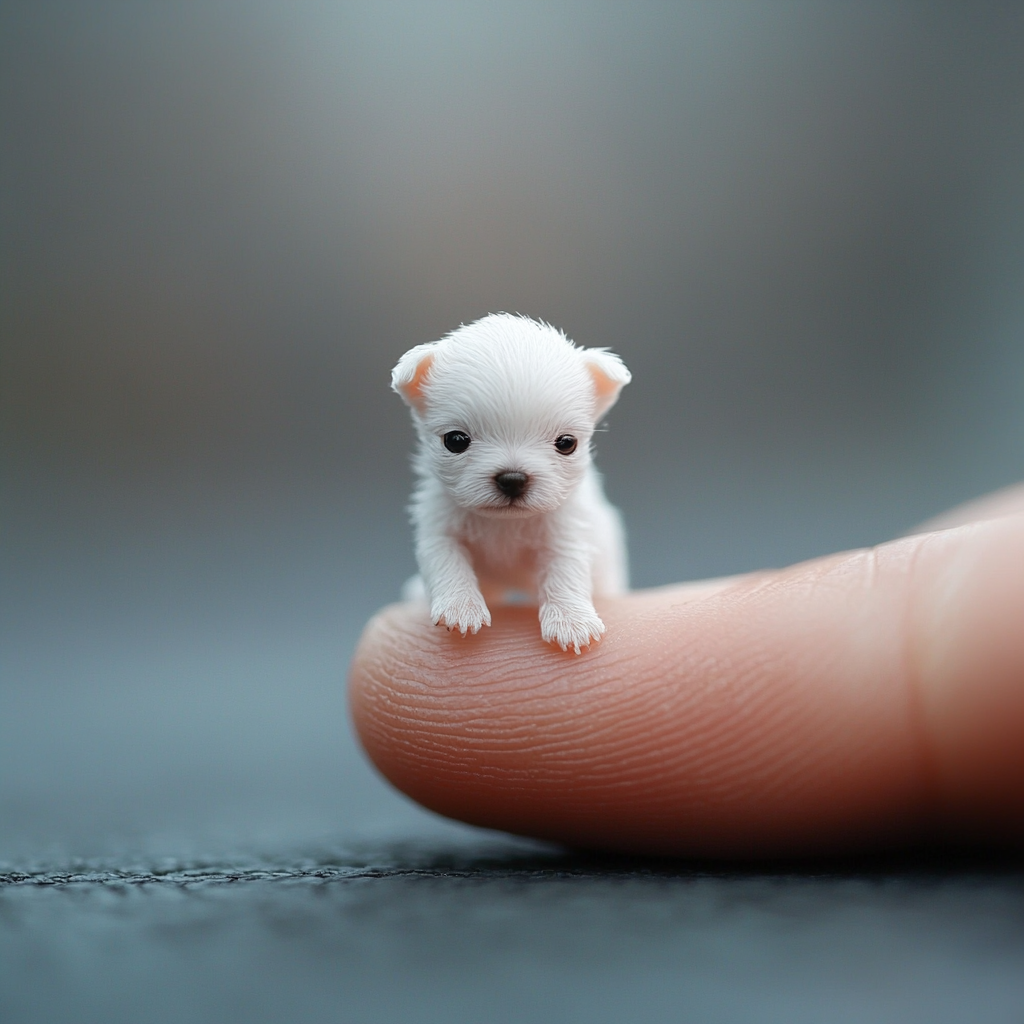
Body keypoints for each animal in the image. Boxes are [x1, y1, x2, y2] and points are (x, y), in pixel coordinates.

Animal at [391, 309, 630, 655]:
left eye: (567, 443)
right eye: (456, 441)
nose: (513, 479)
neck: (505, 524)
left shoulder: (566, 533)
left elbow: (566, 571)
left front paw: (571, 620)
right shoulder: (438, 529)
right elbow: (447, 562)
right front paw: (460, 606)